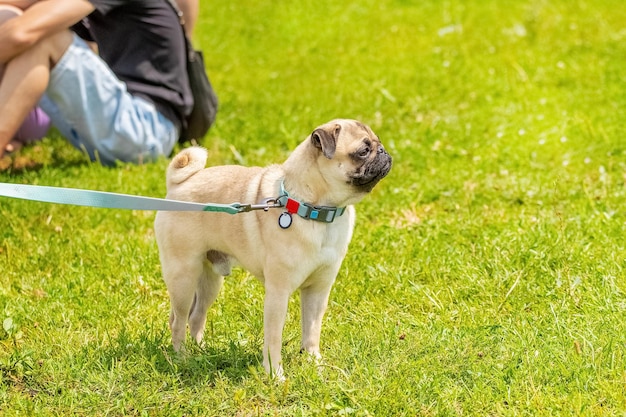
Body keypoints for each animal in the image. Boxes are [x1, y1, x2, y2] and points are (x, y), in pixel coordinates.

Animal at [154, 118, 390, 376]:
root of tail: (177, 185)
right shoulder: (278, 293)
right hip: (184, 276)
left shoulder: (318, 290)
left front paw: (314, 363)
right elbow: (274, 339)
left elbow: (312, 330)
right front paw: (275, 374)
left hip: (209, 281)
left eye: (377, 143)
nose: (383, 151)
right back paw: (182, 358)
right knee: (178, 320)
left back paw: (201, 352)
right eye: (363, 151)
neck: (318, 211)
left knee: (196, 316)